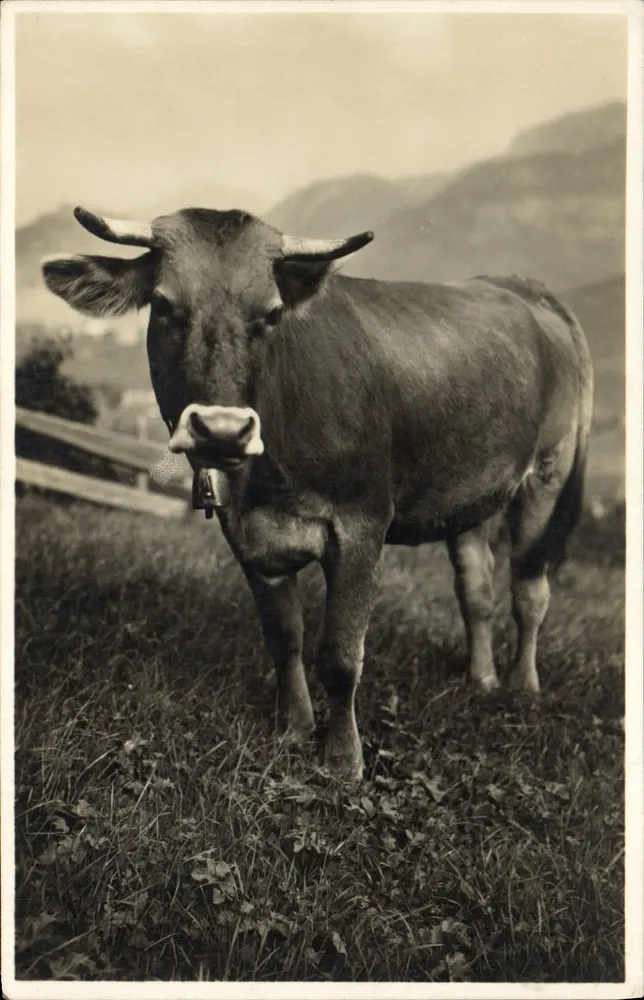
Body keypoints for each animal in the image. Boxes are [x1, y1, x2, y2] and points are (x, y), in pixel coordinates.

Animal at [42, 205, 594, 783]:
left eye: (270, 313)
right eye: (166, 305)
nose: (222, 429)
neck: (267, 480)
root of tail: (522, 287)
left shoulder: (360, 526)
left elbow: (340, 655)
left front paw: (342, 758)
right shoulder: (251, 539)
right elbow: (285, 638)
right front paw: (294, 728)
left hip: (548, 475)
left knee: (530, 590)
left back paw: (522, 687)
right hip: (470, 488)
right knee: (476, 589)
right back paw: (482, 679)